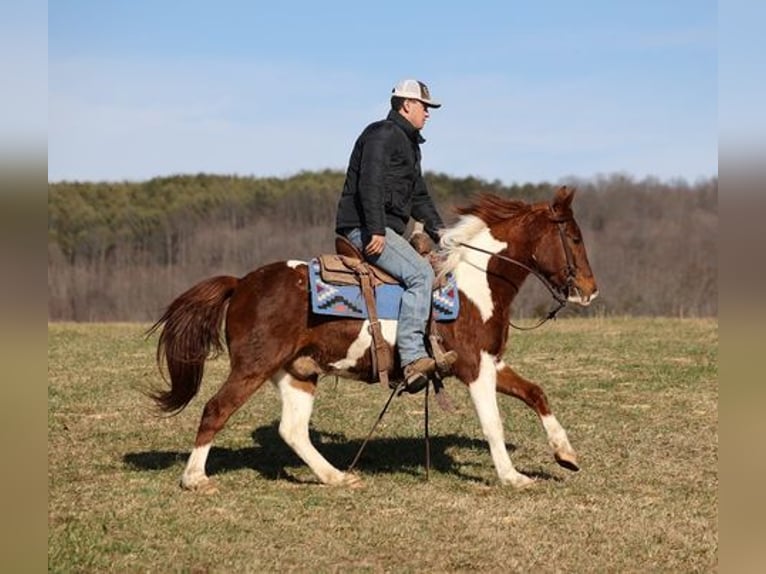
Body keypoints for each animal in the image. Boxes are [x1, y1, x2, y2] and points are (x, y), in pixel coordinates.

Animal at [148, 187, 600, 492]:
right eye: (575, 238)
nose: (590, 290)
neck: (475, 281)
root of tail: (242, 282)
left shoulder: (490, 361)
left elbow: (536, 393)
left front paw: (565, 453)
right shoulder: (474, 368)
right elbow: (493, 423)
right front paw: (512, 476)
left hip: (296, 372)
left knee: (292, 430)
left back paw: (335, 476)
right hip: (253, 366)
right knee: (216, 409)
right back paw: (195, 478)